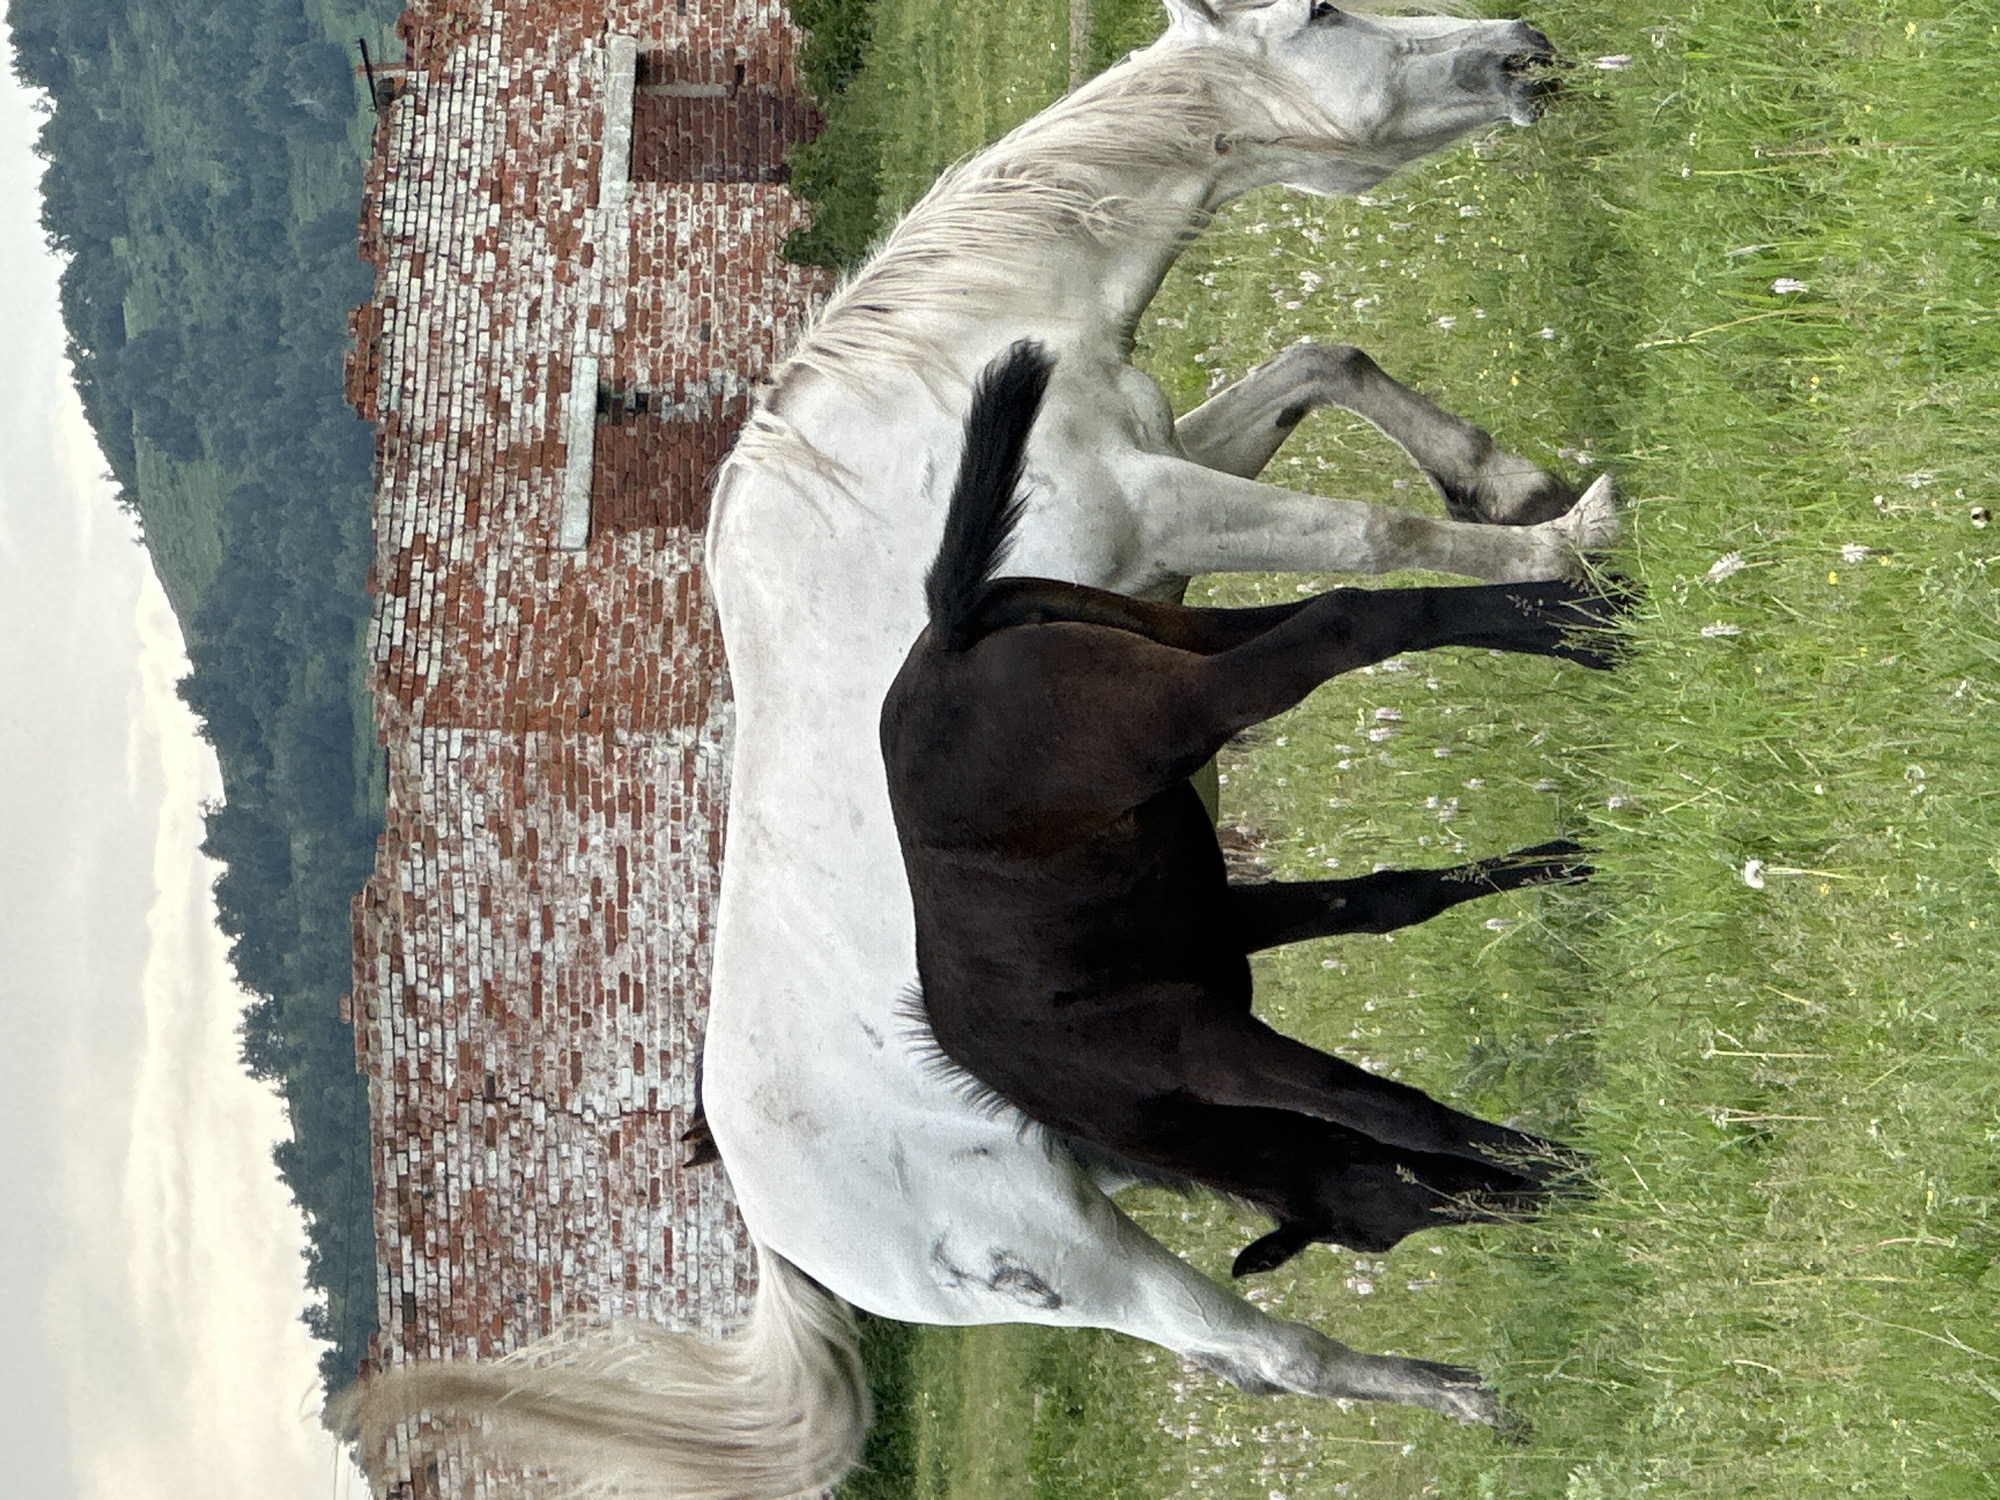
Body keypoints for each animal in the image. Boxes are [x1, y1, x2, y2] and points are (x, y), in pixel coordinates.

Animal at [342, 5, 1616, 1494]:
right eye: (1319, 17)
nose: (1515, 47)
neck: (930, 385)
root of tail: (767, 1214)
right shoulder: (1166, 506)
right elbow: (1376, 541)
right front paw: (1569, 540)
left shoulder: (1161, 495)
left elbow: (1320, 361)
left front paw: (1504, 481)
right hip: (1082, 1254)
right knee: (1263, 1346)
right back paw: (1474, 1393)